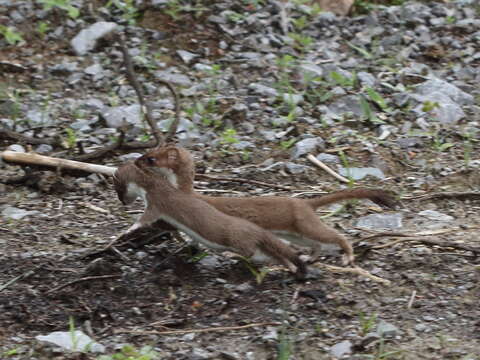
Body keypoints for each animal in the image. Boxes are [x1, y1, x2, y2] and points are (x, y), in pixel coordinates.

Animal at [113, 162, 308, 278]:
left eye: (118, 190)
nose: (122, 203)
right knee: (275, 255)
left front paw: (129, 228)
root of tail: (258, 230)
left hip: (237, 237)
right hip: (263, 245)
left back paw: (232, 254)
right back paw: (291, 267)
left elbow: (145, 218)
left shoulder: (156, 202)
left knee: (249, 251)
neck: (155, 185)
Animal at [135, 145, 398, 262]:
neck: (187, 191)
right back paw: (309, 258)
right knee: (316, 244)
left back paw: (347, 255)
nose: (135, 161)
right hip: (295, 234)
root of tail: (305, 202)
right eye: (148, 150)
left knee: (334, 236)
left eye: (150, 158)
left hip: (305, 224)